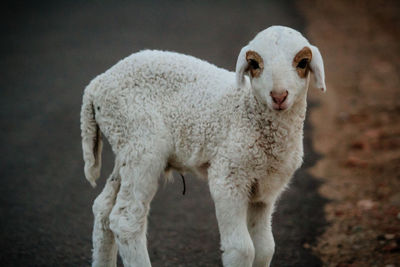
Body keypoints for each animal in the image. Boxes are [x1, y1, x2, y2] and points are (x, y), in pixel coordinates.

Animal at [80, 25, 324, 267]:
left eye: (303, 63)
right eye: (254, 64)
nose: (279, 96)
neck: (249, 110)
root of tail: (96, 85)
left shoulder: (265, 189)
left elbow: (265, 248)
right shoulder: (228, 176)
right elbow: (242, 250)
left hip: (125, 147)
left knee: (103, 208)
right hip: (142, 143)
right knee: (125, 219)